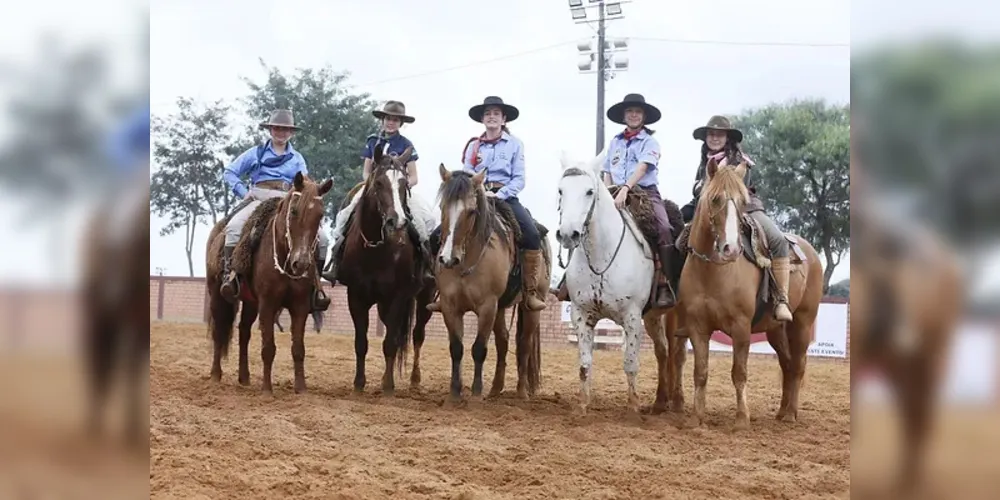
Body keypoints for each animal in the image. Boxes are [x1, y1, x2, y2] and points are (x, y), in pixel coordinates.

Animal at [205, 174, 334, 396]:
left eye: (320, 215)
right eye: (294, 211)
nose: (301, 263)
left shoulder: (300, 306)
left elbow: (298, 349)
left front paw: (301, 389)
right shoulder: (268, 304)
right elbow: (268, 348)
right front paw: (267, 390)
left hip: (250, 302)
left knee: (244, 332)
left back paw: (244, 378)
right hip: (216, 294)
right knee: (219, 331)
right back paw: (215, 375)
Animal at [336, 144, 434, 394]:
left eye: (404, 183)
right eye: (379, 182)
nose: (396, 221)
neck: (375, 249)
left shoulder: (398, 295)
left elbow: (390, 342)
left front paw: (388, 386)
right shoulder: (356, 296)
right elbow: (361, 342)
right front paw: (359, 384)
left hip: (425, 297)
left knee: (417, 335)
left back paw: (414, 379)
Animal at [436, 166, 552, 400]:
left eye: (472, 211)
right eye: (443, 206)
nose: (448, 259)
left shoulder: (487, 306)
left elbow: (479, 348)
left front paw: (476, 394)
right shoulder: (449, 306)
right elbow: (456, 347)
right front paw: (455, 393)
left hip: (532, 306)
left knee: (524, 344)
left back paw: (521, 392)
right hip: (501, 307)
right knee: (503, 341)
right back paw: (495, 389)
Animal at [556, 151, 688, 414]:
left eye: (589, 191)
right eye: (561, 191)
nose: (567, 234)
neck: (602, 257)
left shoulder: (632, 316)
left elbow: (630, 362)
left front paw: (634, 406)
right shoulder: (580, 314)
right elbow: (584, 363)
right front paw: (582, 405)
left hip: (676, 314)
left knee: (677, 354)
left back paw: (677, 403)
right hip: (653, 317)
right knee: (663, 352)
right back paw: (660, 402)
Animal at [676, 157, 824, 430]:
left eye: (743, 202)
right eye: (715, 199)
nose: (731, 249)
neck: (713, 270)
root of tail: (810, 252)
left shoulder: (741, 327)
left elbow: (739, 372)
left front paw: (742, 419)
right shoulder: (697, 327)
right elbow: (700, 373)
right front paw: (697, 419)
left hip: (802, 322)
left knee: (798, 365)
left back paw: (790, 414)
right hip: (776, 330)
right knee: (787, 365)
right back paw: (782, 411)